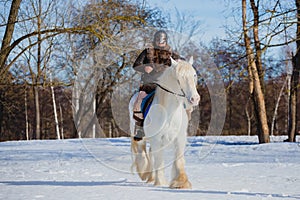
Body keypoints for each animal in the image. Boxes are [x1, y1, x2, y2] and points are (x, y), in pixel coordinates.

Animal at [128, 56, 199, 189]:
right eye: (179, 77)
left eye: (194, 75)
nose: (195, 99)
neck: (170, 113)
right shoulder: (157, 139)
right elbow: (159, 161)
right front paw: (160, 183)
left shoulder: (180, 138)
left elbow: (179, 160)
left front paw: (181, 183)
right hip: (140, 136)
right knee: (142, 152)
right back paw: (146, 174)